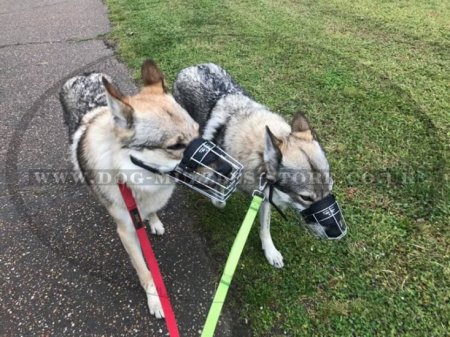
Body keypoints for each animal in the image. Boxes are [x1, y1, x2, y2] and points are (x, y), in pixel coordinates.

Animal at [59, 59, 199, 318]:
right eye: (175, 146)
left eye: (199, 131)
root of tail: (84, 75)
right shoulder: (126, 232)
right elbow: (146, 272)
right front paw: (156, 301)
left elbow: (153, 212)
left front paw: (154, 222)